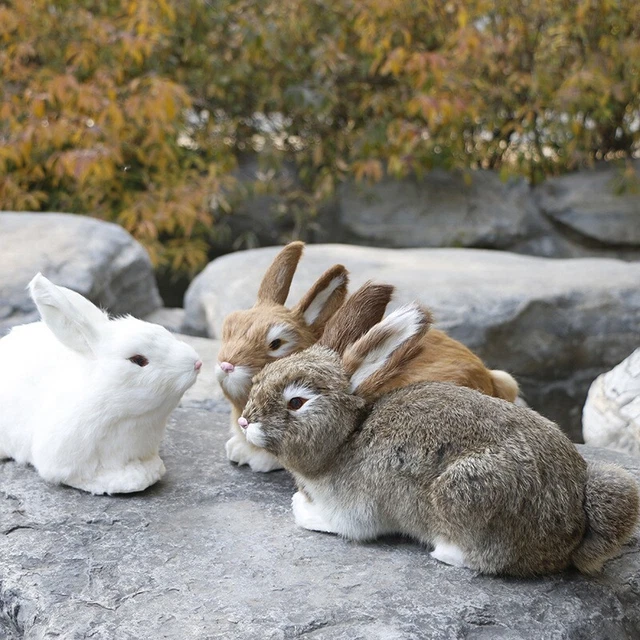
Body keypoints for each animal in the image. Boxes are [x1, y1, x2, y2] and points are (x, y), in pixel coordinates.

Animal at [238, 302, 639, 576]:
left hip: (465, 491)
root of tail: (573, 522)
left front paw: (301, 508)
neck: (347, 436)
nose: (244, 421)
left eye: (296, 402)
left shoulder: (354, 511)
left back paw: (443, 551)